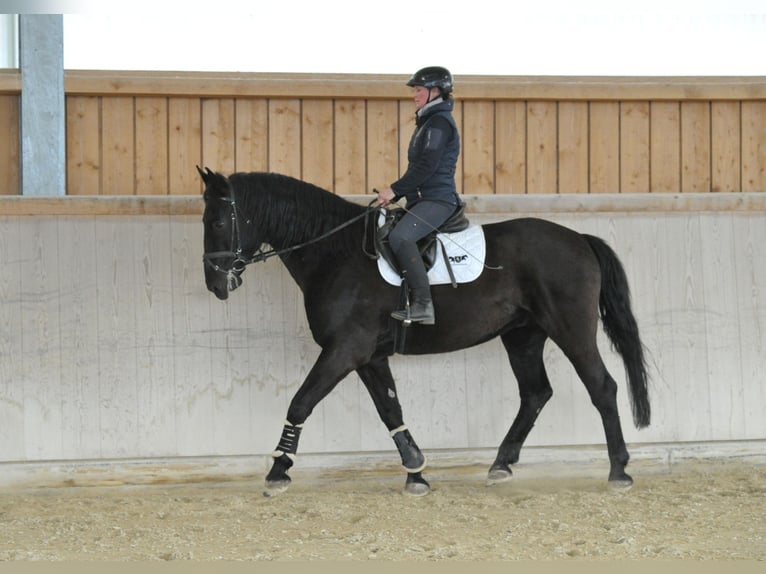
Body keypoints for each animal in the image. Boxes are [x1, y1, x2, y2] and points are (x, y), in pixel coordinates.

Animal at [198, 166, 651, 496]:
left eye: (218, 220)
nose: (216, 284)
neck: (336, 253)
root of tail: (579, 239)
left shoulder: (345, 350)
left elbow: (300, 403)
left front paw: (278, 470)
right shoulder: (367, 356)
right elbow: (391, 411)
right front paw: (416, 471)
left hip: (570, 330)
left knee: (602, 387)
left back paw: (619, 471)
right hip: (523, 336)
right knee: (536, 393)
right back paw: (501, 465)